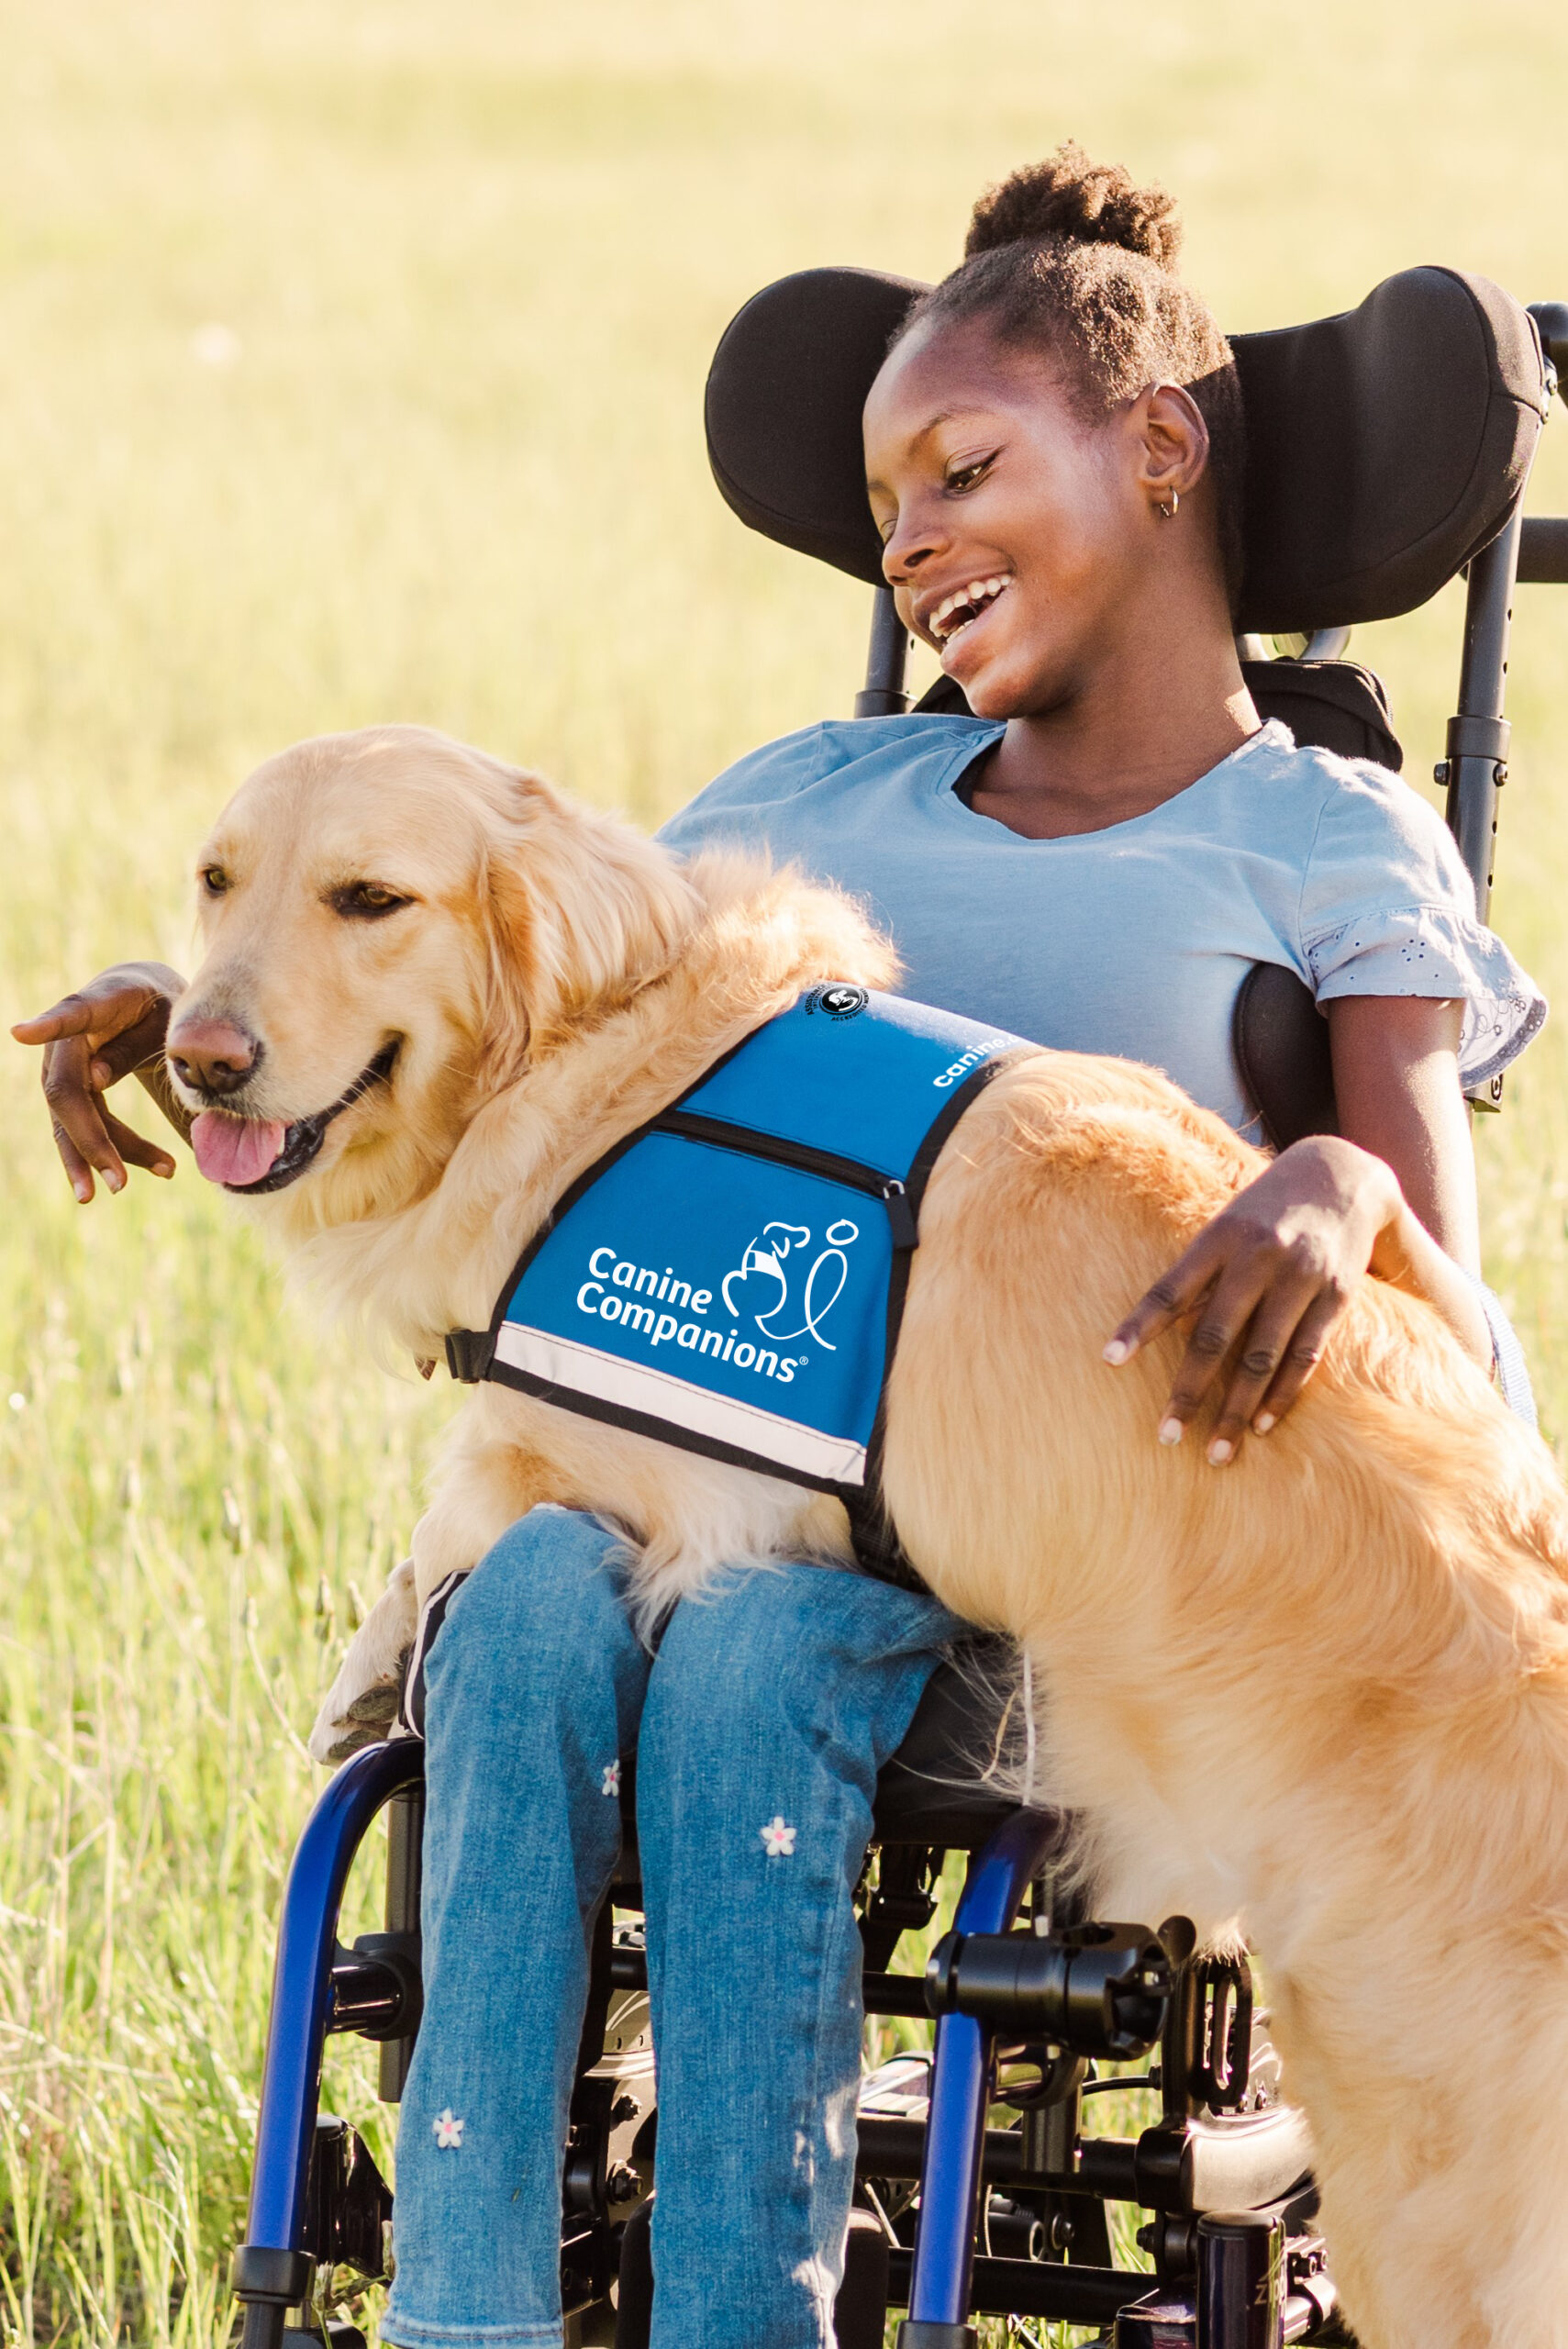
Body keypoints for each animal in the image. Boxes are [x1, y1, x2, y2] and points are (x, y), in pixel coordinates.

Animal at [161, 723, 1568, 2339]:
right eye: (217, 880)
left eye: (371, 899)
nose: (195, 1056)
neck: (611, 1055)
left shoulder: (699, 1482)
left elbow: (461, 1501)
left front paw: (365, 1669)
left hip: (1413, 2169)